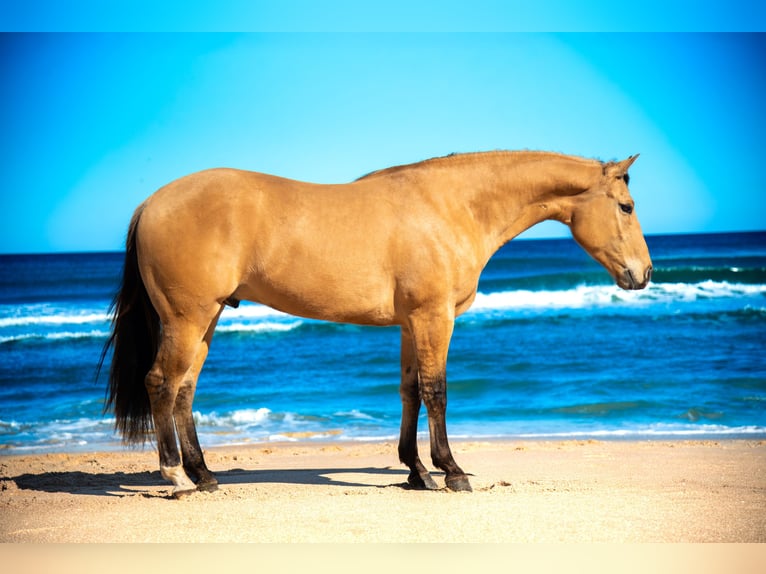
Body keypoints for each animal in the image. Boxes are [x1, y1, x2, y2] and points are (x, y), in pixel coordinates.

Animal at [101, 150, 652, 497]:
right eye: (625, 207)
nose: (643, 274)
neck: (451, 207)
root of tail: (151, 203)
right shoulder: (433, 317)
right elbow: (436, 390)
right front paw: (451, 472)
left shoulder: (411, 323)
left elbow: (410, 391)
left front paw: (416, 472)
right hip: (186, 317)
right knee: (161, 383)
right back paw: (176, 477)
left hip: (207, 318)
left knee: (185, 388)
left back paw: (204, 474)